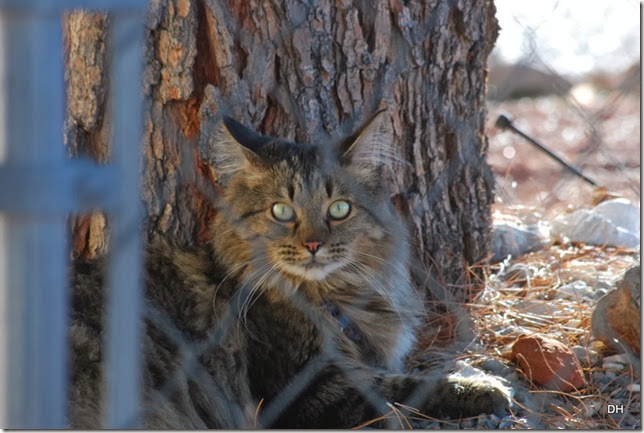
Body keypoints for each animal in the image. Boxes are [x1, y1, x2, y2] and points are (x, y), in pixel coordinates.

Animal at [69, 111, 510, 428]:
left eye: (339, 209)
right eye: (282, 211)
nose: (313, 245)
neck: (331, 297)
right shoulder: (310, 390)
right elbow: (406, 389)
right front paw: (482, 387)